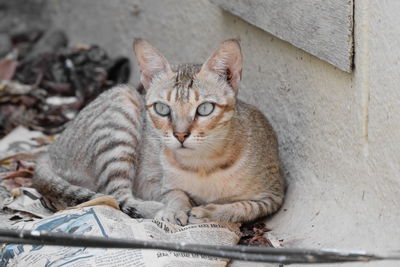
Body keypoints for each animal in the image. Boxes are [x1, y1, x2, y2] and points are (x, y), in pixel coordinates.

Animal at [32, 38, 286, 226]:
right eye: (162, 109)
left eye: (205, 108)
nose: (180, 135)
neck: (203, 164)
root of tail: (51, 150)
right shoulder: (165, 185)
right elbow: (176, 194)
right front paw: (175, 209)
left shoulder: (274, 195)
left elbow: (244, 207)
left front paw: (209, 212)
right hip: (122, 108)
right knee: (115, 195)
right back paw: (153, 208)